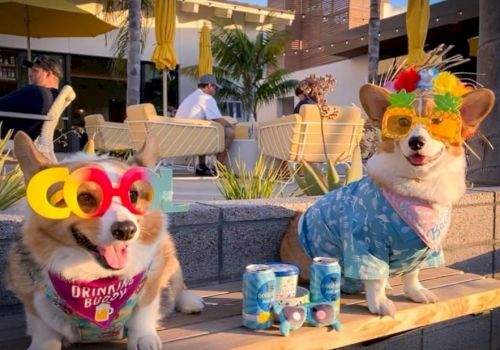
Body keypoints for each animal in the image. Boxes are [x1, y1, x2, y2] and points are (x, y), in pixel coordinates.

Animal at [5, 133, 205, 350]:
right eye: (84, 197)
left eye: (132, 194)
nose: (126, 230)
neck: (98, 280)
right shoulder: (34, 302)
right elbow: (44, 329)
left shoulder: (150, 281)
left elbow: (144, 311)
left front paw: (144, 338)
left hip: (170, 254)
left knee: (177, 286)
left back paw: (190, 302)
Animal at [282, 82, 496, 318]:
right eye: (402, 122)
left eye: (438, 121)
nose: (416, 142)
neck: (418, 185)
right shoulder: (366, 247)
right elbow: (375, 279)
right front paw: (379, 303)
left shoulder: (422, 251)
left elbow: (412, 274)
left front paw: (416, 292)